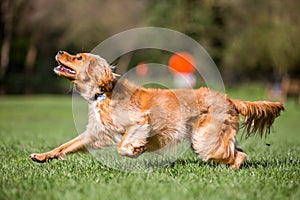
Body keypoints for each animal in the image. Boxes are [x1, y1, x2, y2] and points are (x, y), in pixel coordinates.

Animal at [29, 51, 284, 169]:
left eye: (79, 57)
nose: (59, 51)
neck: (103, 93)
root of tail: (229, 98)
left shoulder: (140, 121)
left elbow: (123, 146)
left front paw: (137, 149)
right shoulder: (95, 133)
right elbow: (65, 146)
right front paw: (41, 156)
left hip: (204, 140)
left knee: (239, 154)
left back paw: (232, 170)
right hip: (210, 138)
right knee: (237, 150)